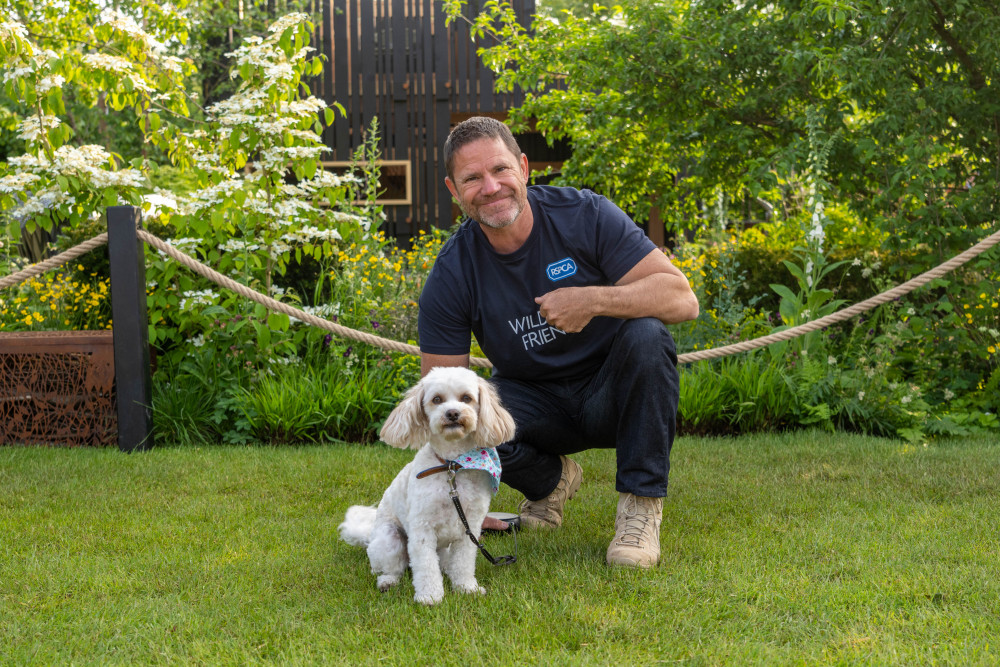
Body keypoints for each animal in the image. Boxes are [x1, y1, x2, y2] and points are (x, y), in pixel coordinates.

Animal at [340, 366, 520, 604]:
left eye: (466, 398)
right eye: (437, 399)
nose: (452, 413)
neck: (451, 466)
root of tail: (370, 536)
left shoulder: (470, 527)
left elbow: (464, 562)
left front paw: (467, 588)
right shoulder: (422, 527)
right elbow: (425, 567)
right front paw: (430, 596)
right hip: (390, 540)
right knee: (391, 569)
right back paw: (387, 582)